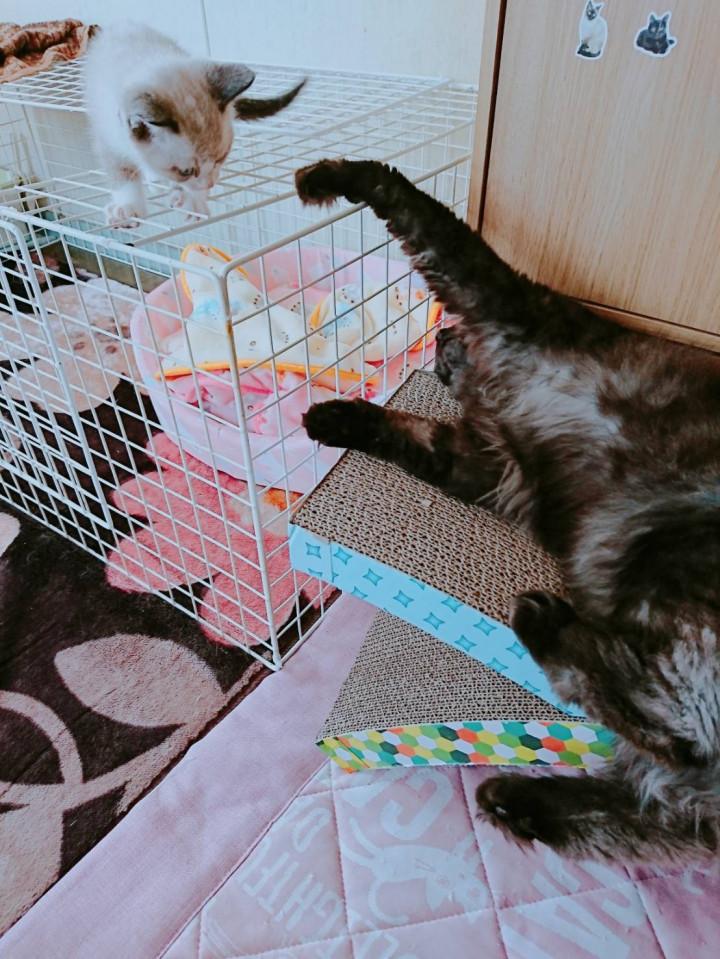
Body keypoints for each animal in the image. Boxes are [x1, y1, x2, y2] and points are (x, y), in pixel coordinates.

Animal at [84, 22, 304, 228]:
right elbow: (121, 174)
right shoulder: (107, 134)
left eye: (221, 158)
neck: (146, 62)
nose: (209, 183)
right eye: (185, 172)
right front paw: (128, 207)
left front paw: (194, 202)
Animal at [294, 157, 720, 862]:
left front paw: (329, 175)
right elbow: (395, 429)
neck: (492, 382)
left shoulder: (501, 298)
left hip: (670, 580)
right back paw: (511, 800)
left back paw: (541, 621)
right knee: (633, 800)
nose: (441, 334)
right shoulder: (480, 462)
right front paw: (333, 419)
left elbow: (410, 202)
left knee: (669, 725)